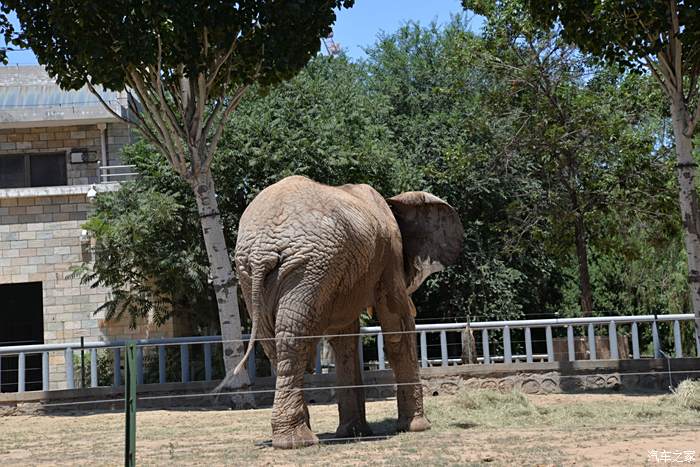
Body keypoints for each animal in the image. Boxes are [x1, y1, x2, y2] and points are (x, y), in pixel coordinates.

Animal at [232, 176, 462, 450]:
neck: (394, 203)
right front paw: (417, 427)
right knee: (292, 339)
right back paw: (299, 441)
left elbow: (344, 340)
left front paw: (354, 433)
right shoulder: (390, 255)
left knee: (273, 343)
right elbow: (396, 326)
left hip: (259, 273)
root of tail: (261, 250)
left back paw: (293, 438)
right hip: (309, 267)